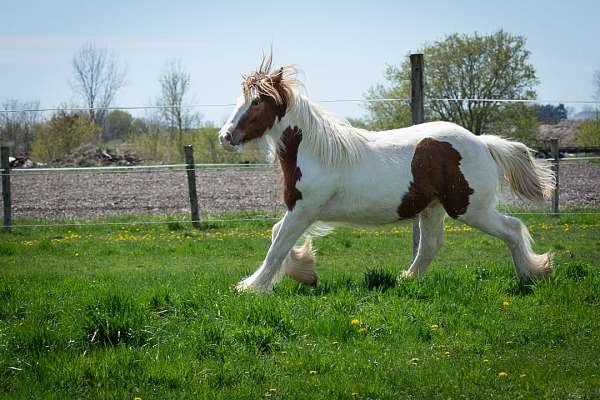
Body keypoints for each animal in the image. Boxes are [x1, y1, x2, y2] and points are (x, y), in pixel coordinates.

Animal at [218, 58, 556, 294]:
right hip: (434, 208)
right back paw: (405, 279)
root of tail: (483, 142)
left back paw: (532, 274)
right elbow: (278, 237)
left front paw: (251, 287)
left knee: (512, 229)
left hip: (470, 208)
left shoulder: (304, 209)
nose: (225, 136)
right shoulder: (301, 210)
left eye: (257, 101)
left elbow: (276, 247)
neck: (317, 152)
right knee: (430, 245)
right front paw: (305, 272)